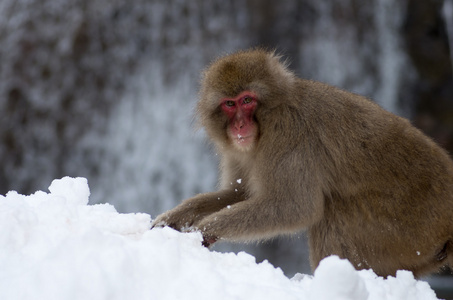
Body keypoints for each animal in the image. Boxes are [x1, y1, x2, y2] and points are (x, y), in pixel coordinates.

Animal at [153, 48, 452, 276]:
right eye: (229, 104)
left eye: (247, 100)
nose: (239, 125)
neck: (271, 117)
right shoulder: (238, 151)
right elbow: (239, 193)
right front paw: (175, 218)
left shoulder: (289, 134)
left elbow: (295, 206)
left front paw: (204, 230)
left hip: (408, 231)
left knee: (334, 212)